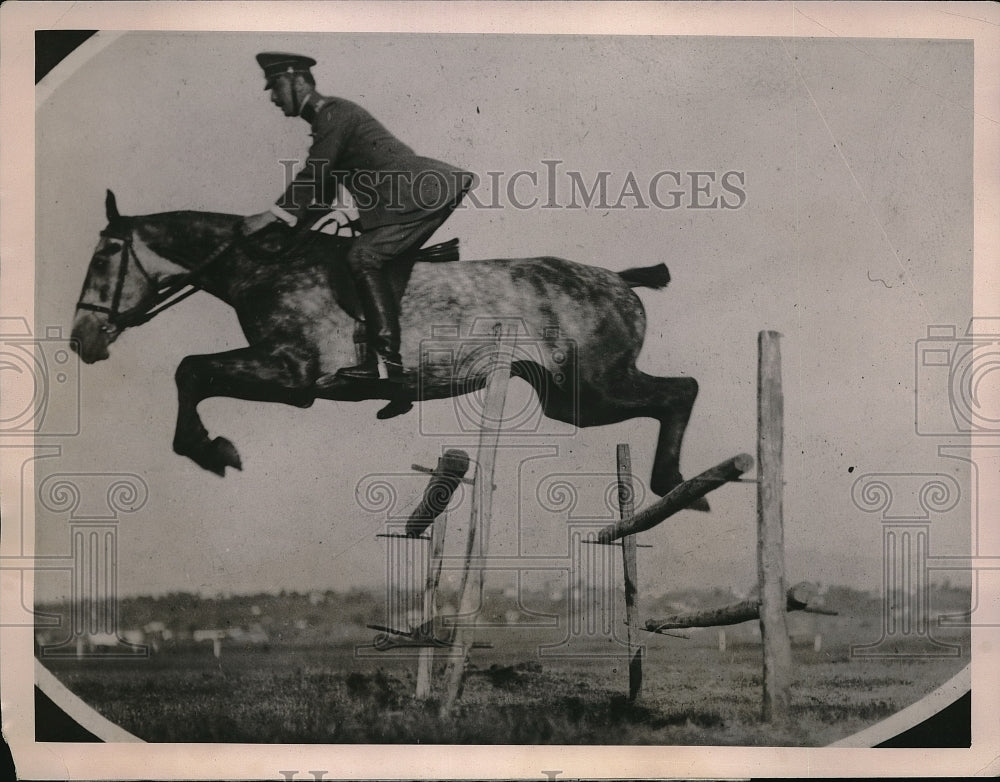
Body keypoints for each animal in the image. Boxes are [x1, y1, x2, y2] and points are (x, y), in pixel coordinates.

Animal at [71, 190, 705, 506]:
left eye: (105, 254)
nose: (82, 340)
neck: (265, 266)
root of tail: (618, 280)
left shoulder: (293, 375)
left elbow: (190, 371)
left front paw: (212, 451)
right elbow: (193, 374)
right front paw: (209, 449)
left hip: (590, 389)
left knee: (682, 390)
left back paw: (677, 485)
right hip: (567, 398)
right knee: (675, 393)